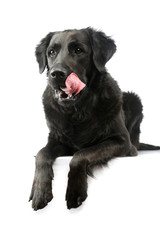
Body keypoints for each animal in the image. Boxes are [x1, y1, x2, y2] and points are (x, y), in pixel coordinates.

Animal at [29, 26, 160, 210]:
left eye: (78, 50)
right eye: (51, 52)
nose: (56, 74)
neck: (78, 110)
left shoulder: (122, 142)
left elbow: (81, 154)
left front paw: (75, 191)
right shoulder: (56, 138)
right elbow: (41, 154)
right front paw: (40, 191)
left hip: (134, 101)